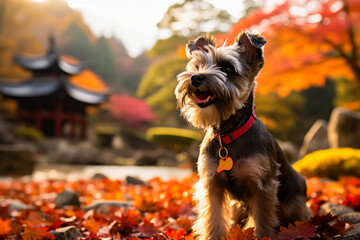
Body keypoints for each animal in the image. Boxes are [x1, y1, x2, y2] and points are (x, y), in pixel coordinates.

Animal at [174, 31, 310, 240]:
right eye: (197, 65)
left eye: (227, 68)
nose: (196, 77)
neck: (228, 134)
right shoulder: (212, 184)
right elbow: (213, 217)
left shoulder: (262, 186)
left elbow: (262, 221)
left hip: (293, 206)